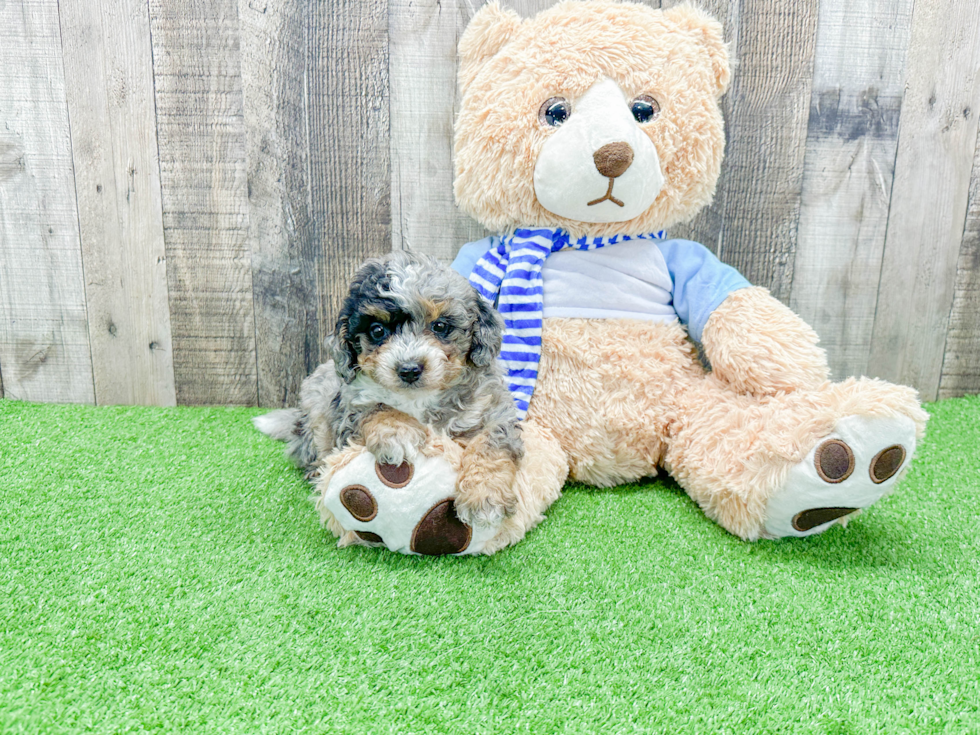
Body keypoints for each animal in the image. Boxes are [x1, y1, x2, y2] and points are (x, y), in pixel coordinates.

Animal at [256, 252, 524, 528]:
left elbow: (490, 444)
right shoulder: (349, 409)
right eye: (377, 330)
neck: (418, 399)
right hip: (315, 411)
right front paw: (397, 432)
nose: (409, 369)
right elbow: (375, 408)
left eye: (440, 326)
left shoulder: (493, 409)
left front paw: (484, 496)